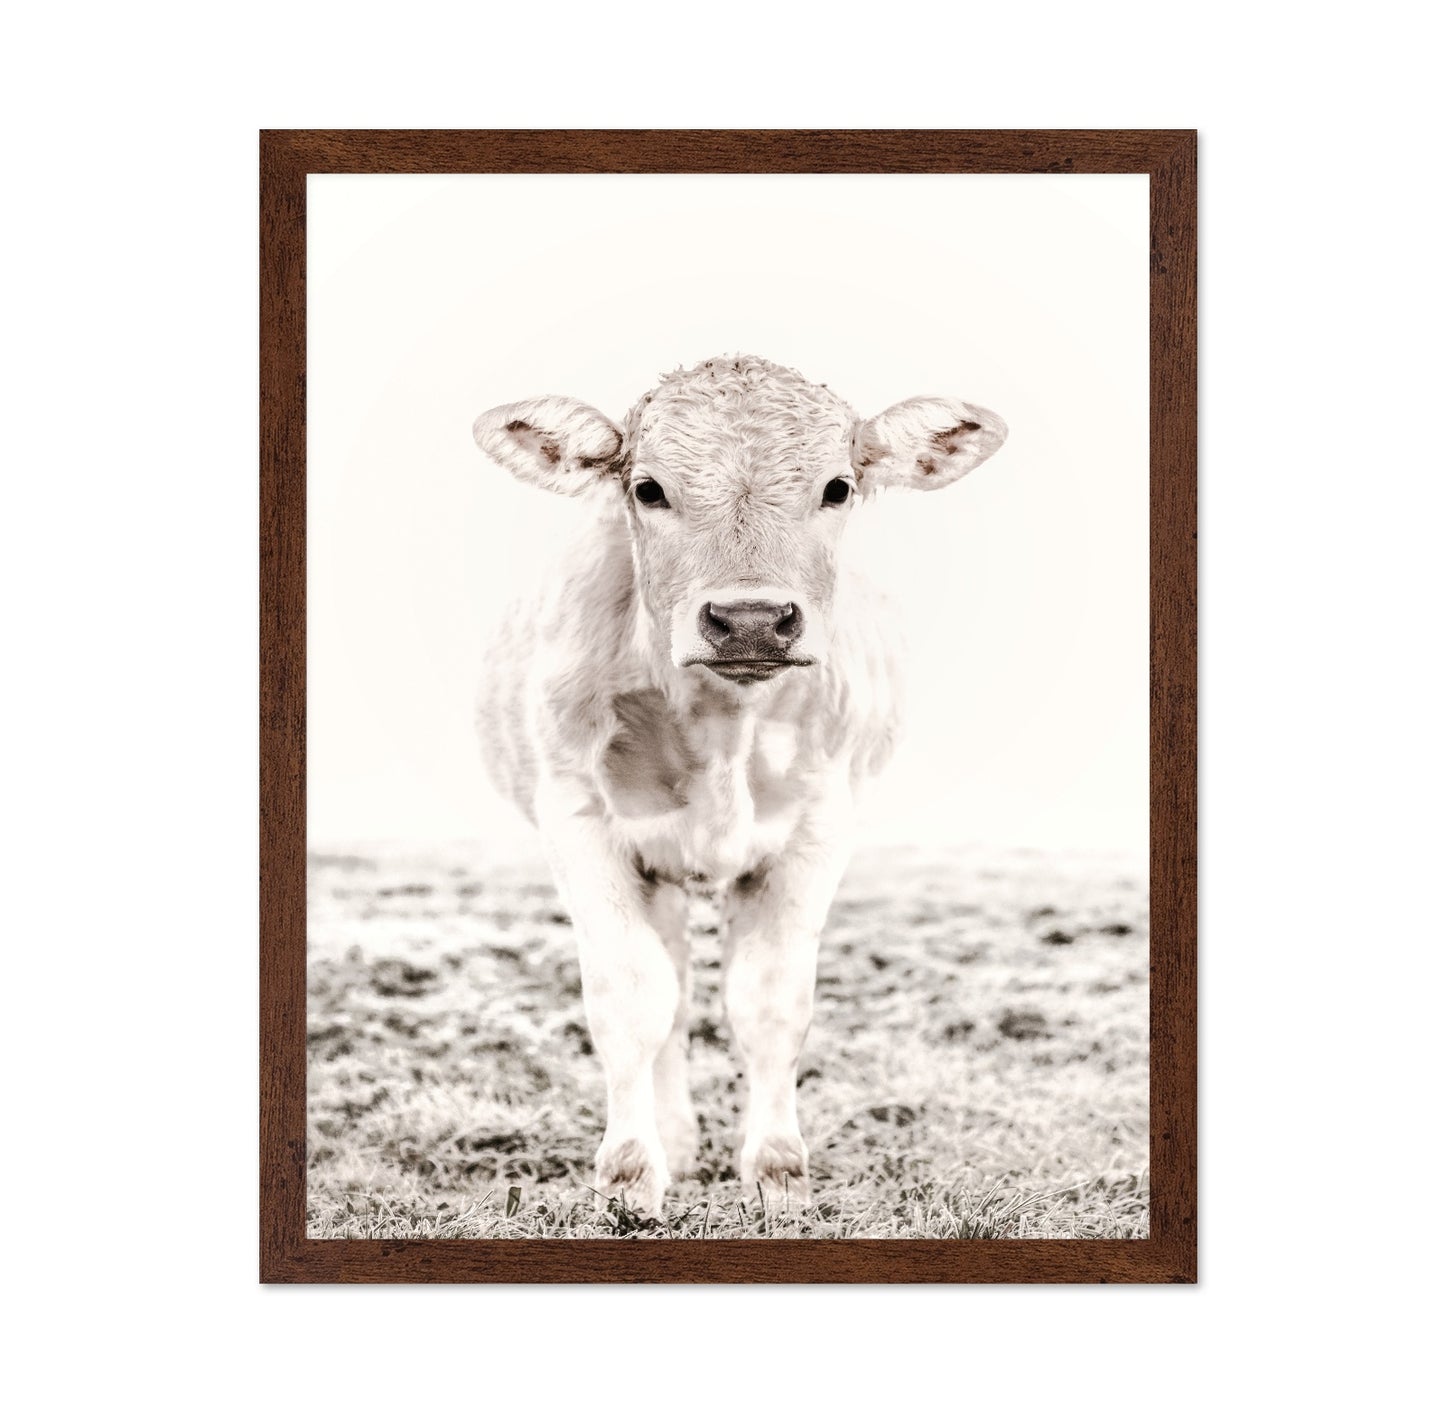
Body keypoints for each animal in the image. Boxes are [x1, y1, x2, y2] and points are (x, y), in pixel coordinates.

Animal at [472, 355, 1007, 1216]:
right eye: (647, 488)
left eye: (837, 487)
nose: (750, 619)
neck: (722, 725)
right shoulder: (579, 820)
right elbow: (631, 997)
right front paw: (631, 1170)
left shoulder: (818, 828)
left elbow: (770, 1001)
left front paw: (778, 1169)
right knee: (672, 995)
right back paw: (675, 1139)